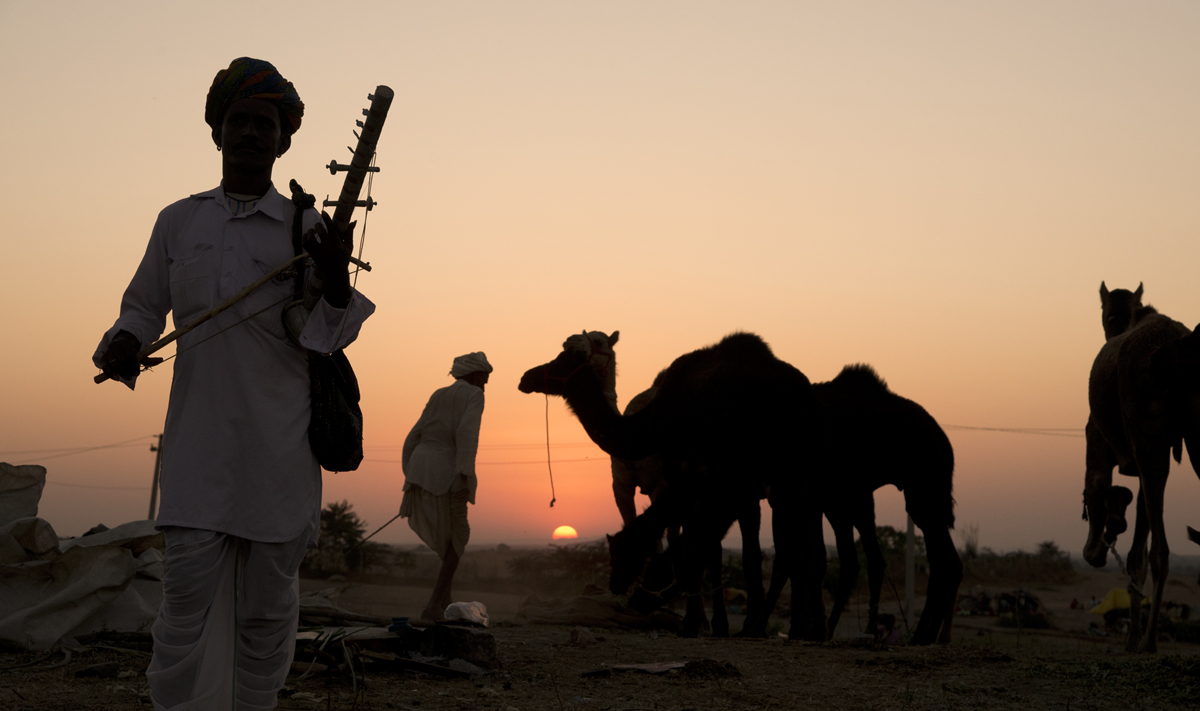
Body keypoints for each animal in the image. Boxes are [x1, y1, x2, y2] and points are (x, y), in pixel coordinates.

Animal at [520, 331, 830, 638]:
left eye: (562, 359)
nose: (527, 377)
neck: (648, 424)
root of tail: (807, 400)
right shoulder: (729, 488)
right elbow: (730, 550)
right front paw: (718, 624)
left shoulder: (684, 473)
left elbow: (697, 544)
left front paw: (694, 623)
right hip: (803, 473)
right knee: (806, 546)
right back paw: (803, 629)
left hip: (779, 473)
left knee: (788, 548)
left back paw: (775, 627)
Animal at [758, 367, 964, 643]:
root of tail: (943, 438)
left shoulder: (797, 493)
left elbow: (796, 558)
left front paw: (764, 628)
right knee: (929, 560)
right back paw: (918, 634)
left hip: (919, 489)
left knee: (939, 560)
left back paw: (919, 635)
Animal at [1084, 281, 1195, 653]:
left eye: (1104, 313)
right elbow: (1136, 554)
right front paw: (1130, 637)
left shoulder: (1096, 440)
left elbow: (1096, 487)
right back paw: (1144, 639)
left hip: (1146, 423)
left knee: (1160, 550)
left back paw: (1149, 641)